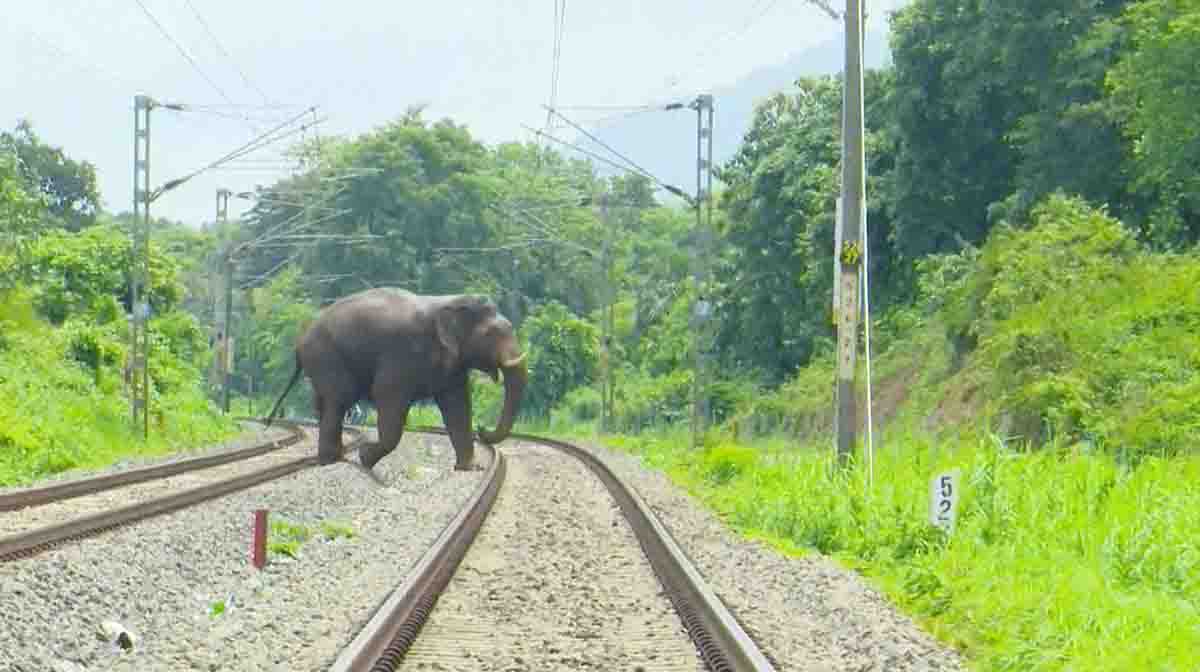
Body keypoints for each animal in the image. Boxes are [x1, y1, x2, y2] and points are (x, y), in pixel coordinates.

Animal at [265, 288, 528, 472]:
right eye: (492, 334)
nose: (483, 429)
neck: (448, 301)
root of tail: (299, 342)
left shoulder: (452, 365)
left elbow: (457, 406)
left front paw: (470, 468)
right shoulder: (401, 354)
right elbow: (388, 397)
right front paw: (364, 456)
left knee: (324, 402)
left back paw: (333, 458)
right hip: (325, 355)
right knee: (340, 397)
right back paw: (334, 460)